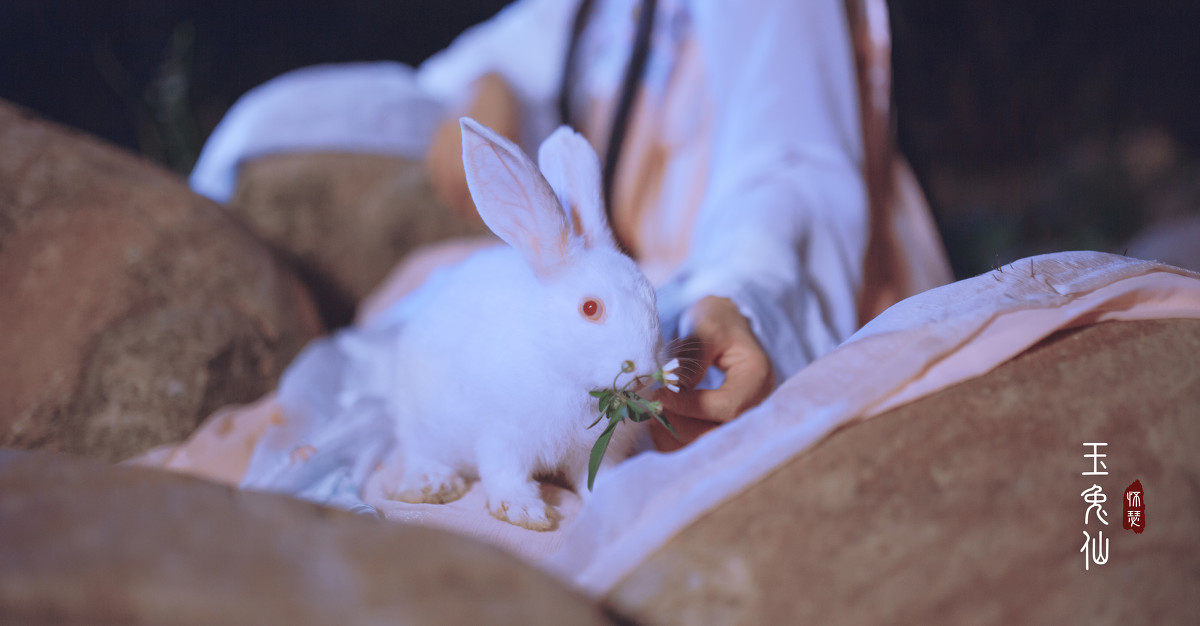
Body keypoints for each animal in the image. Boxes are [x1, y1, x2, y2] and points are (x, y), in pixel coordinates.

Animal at [381, 115, 662, 525]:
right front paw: (525, 511)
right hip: (421, 421)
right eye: (590, 308)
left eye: (654, 297)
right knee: (419, 452)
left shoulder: (598, 450)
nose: (642, 372)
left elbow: (599, 478)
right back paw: (432, 485)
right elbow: (505, 473)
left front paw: (621, 500)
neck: (557, 365)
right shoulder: (502, 435)